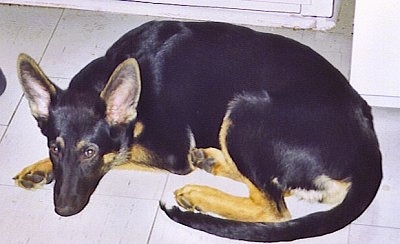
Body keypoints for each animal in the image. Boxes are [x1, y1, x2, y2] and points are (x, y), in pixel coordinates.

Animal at [13, 21, 382, 242]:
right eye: (54, 148)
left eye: (90, 151)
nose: (63, 210)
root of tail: (369, 148)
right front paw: (39, 169)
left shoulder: (171, 151)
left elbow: (122, 152)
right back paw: (211, 161)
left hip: (244, 110)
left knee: (273, 207)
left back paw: (200, 193)